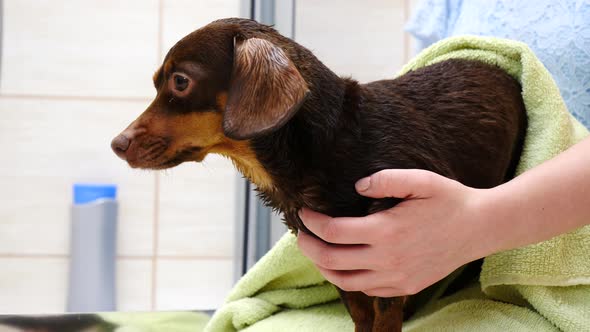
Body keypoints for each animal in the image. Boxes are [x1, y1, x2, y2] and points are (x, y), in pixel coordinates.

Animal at [111, 18, 528, 332]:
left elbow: (384, 314)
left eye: (180, 82)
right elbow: (361, 314)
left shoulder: (390, 261)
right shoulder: (344, 267)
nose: (117, 144)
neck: (331, 143)